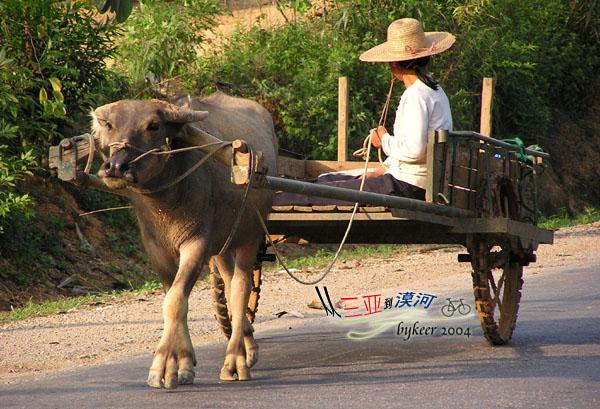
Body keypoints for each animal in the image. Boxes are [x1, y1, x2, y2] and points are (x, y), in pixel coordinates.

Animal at [91, 93, 278, 388]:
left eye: (153, 125)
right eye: (110, 125)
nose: (116, 167)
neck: (166, 201)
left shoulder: (196, 243)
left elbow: (176, 300)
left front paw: (163, 366)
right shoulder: (156, 250)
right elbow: (173, 298)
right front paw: (183, 364)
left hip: (250, 236)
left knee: (241, 289)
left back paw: (234, 361)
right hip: (222, 246)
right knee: (229, 283)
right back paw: (248, 347)